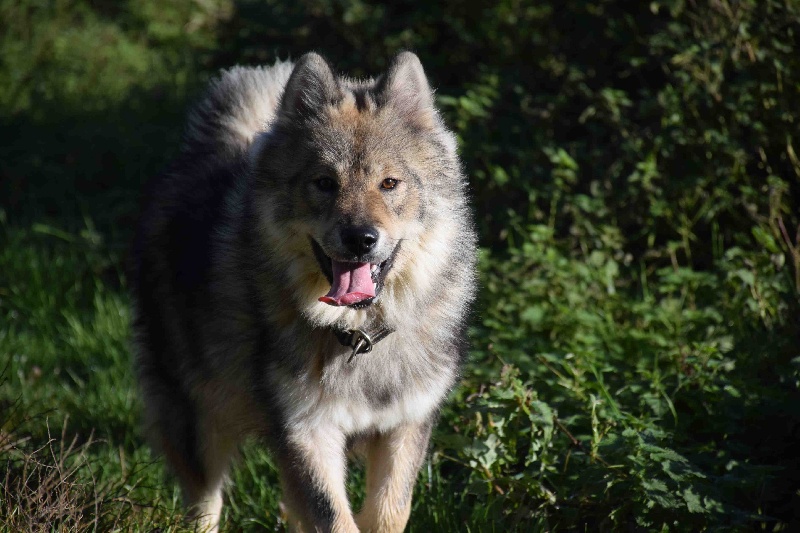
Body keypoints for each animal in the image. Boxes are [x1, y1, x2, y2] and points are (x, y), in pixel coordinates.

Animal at [133, 51, 476, 532]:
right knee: (204, 503)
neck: (357, 339)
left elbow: (388, 511)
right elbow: (335, 518)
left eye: (389, 183)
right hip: (199, 417)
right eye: (325, 183)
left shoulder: (405, 425)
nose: (360, 238)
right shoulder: (306, 431)